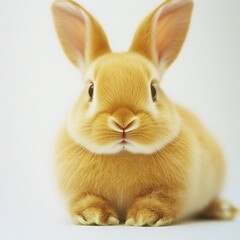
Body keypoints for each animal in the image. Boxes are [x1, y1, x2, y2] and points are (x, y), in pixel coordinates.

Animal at [51, 0, 238, 226]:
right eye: (91, 90)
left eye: (153, 90)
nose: (123, 121)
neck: (123, 153)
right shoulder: (79, 192)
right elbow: (88, 199)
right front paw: (96, 216)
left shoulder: (170, 192)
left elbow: (156, 200)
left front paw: (144, 217)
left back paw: (223, 209)